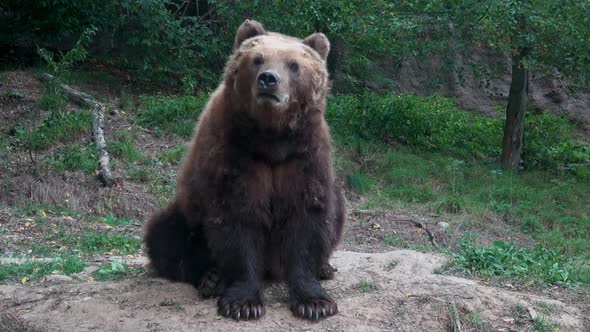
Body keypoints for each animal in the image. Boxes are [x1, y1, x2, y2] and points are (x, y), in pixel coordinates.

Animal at [145, 18, 346, 322]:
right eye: (257, 59)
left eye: (294, 65)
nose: (268, 79)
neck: (271, 138)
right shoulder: (235, 153)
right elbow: (237, 218)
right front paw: (243, 303)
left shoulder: (303, 156)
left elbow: (307, 216)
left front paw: (315, 302)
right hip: (186, 210)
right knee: (165, 235)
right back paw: (210, 278)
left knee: (337, 211)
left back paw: (325, 267)